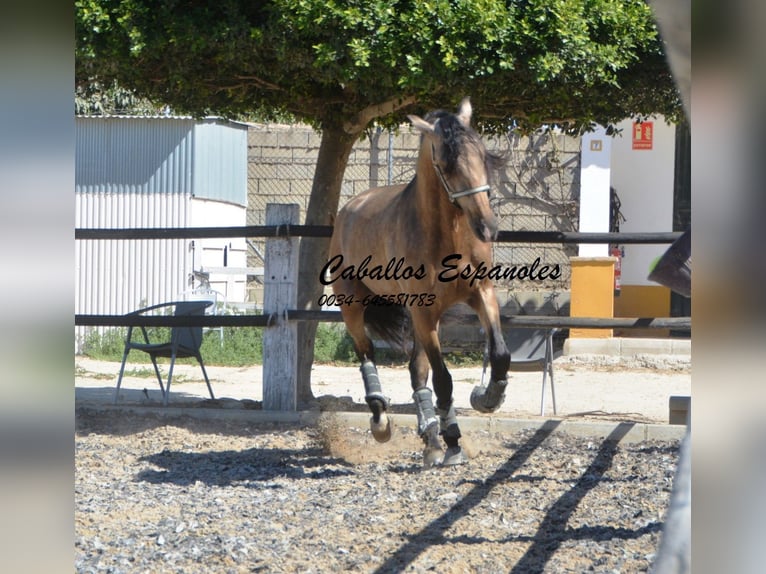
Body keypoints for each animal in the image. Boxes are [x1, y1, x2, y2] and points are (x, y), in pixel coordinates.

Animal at [324, 98, 510, 468]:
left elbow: (499, 354)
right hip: (354, 306)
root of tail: (351, 206)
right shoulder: (424, 312)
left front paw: (486, 398)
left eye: (482, 155)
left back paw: (431, 438)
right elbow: (444, 379)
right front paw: (453, 442)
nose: (488, 228)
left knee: (416, 371)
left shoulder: (481, 294)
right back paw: (383, 421)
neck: (448, 235)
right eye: (446, 165)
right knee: (366, 354)